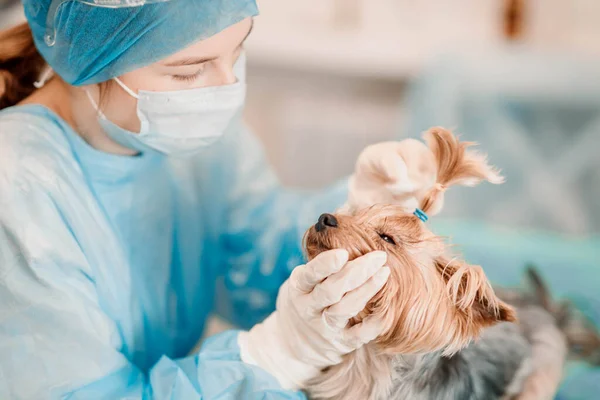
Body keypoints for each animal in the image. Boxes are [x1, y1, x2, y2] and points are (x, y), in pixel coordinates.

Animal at [302, 128, 568, 400]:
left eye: (386, 237)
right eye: (356, 215)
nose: (324, 218)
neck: (364, 360)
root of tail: (542, 310)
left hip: (539, 374)